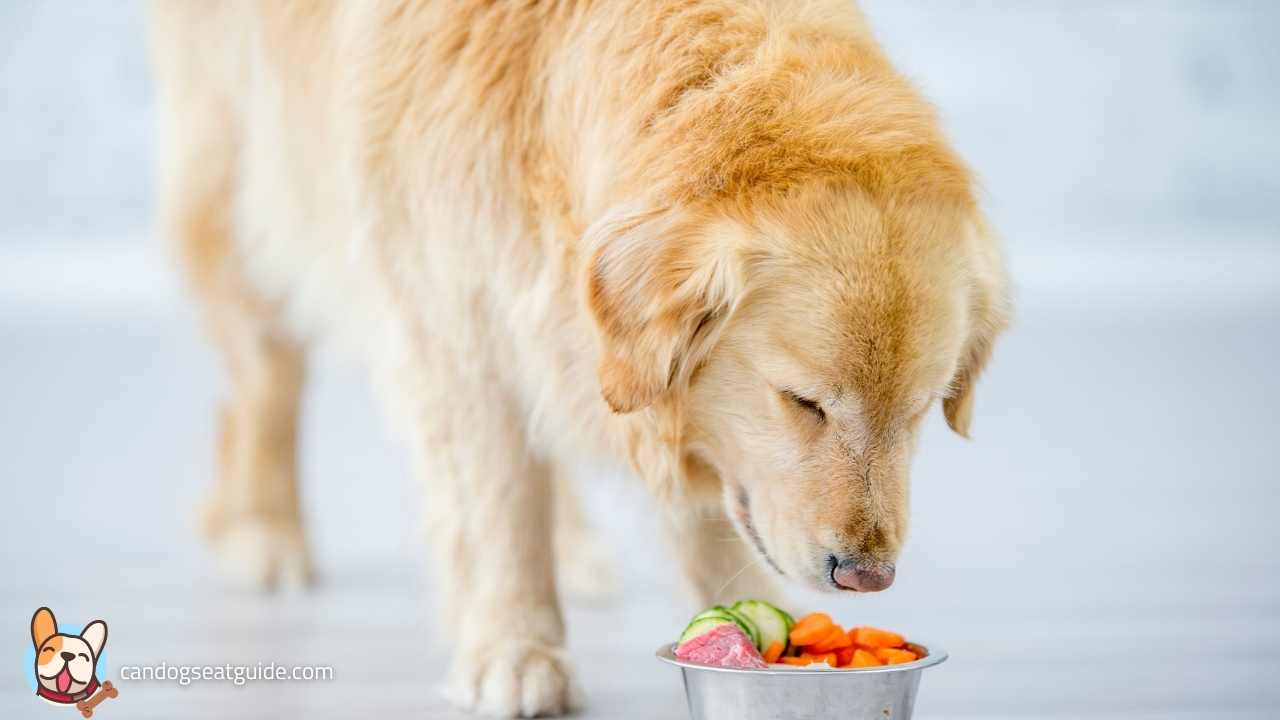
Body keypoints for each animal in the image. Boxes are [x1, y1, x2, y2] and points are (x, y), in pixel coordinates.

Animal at [149, 0, 1008, 712]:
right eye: (803, 401)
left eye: (919, 413)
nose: (868, 576)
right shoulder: (459, 319)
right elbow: (499, 505)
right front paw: (516, 651)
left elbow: (704, 521)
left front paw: (768, 637)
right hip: (244, 185)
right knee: (266, 383)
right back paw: (265, 530)